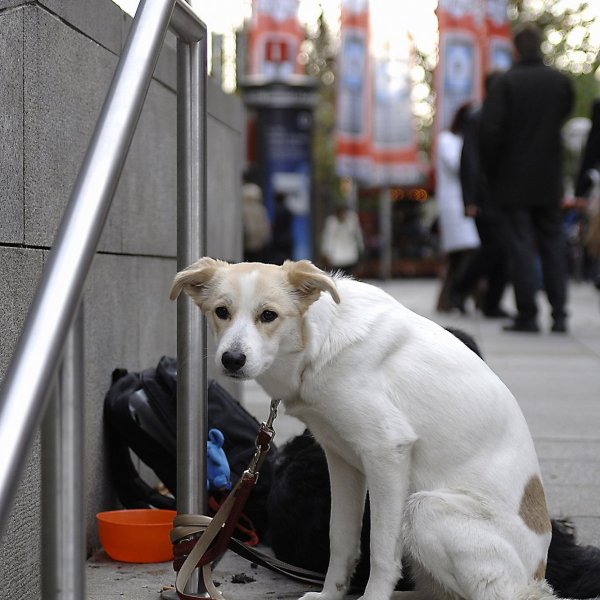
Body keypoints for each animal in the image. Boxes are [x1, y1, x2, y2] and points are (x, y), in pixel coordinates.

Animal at [170, 258, 564, 600]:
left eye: (268, 315)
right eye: (221, 312)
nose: (232, 360)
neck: (318, 343)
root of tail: (537, 573)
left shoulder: (387, 453)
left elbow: (380, 550)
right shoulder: (341, 461)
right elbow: (341, 540)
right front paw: (330, 596)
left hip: (423, 509)